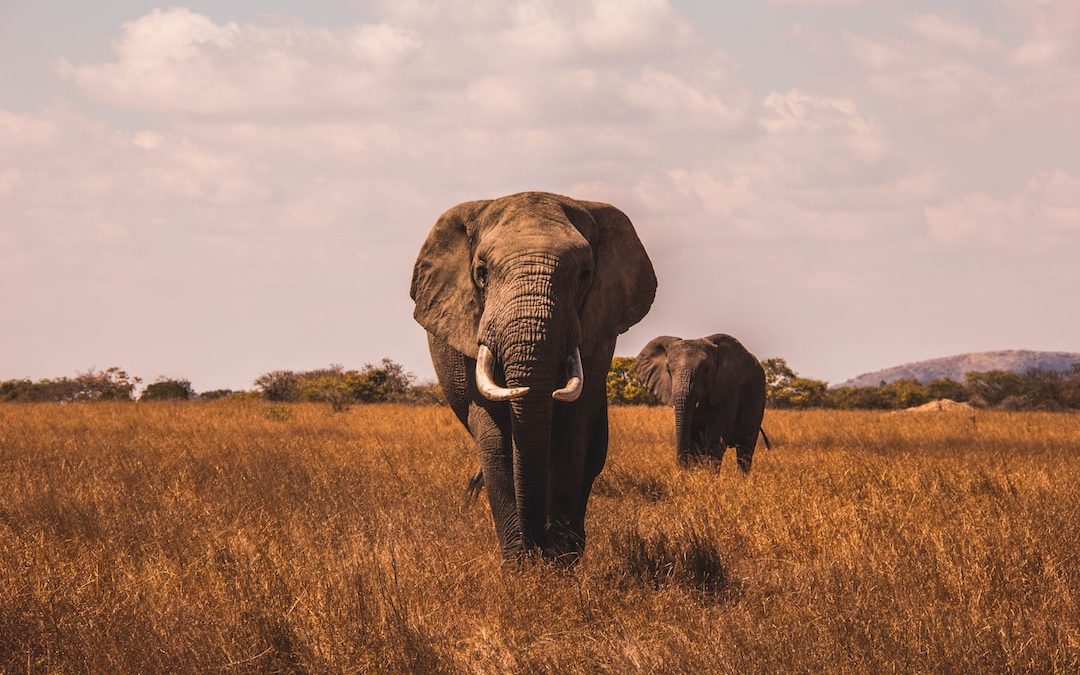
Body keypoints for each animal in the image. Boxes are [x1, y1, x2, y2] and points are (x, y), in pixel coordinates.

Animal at [406, 191, 652, 561]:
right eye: (481, 272)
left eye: (585, 273)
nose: (539, 547)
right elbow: (494, 436)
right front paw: (521, 564)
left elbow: (573, 433)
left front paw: (560, 561)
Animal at [635, 334, 773, 470]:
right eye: (668, 370)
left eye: (706, 370)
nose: (682, 467)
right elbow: (695, 439)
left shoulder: (728, 388)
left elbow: (716, 440)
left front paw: (709, 475)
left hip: (758, 398)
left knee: (745, 450)